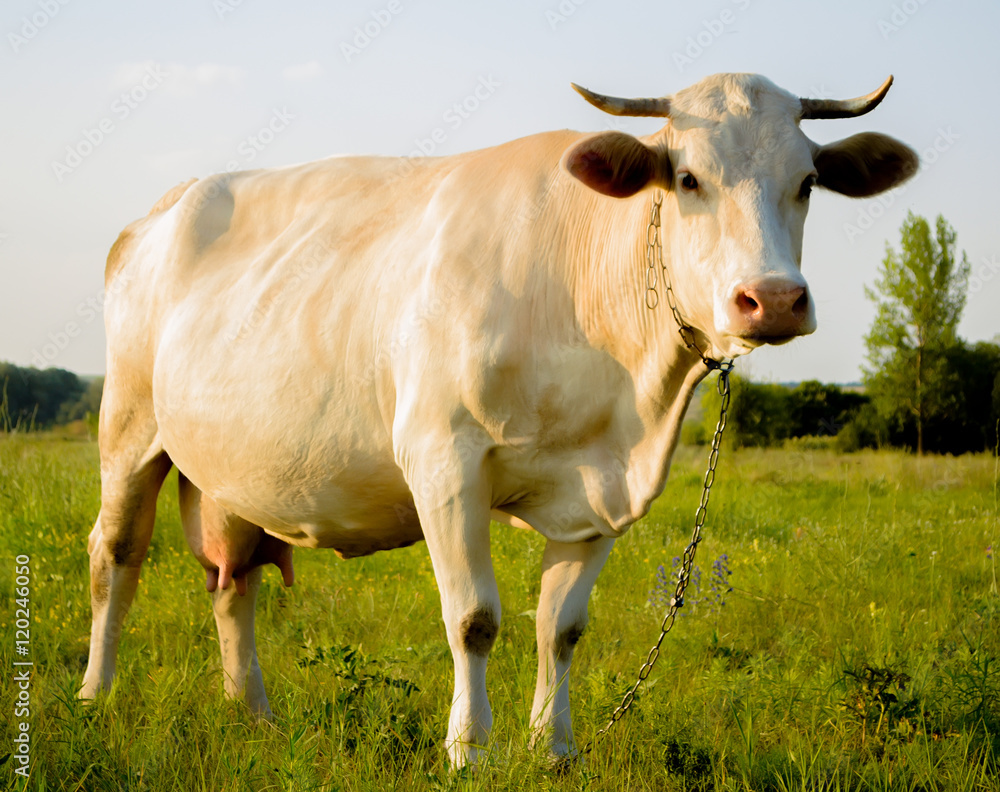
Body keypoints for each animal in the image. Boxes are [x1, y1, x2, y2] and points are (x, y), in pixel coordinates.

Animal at [79, 73, 917, 768]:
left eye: (807, 182)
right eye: (687, 178)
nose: (771, 299)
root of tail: (162, 209)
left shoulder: (601, 489)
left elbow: (561, 628)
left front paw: (553, 749)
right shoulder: (442, 459)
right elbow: (474, 618)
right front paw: (469, 750)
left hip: (232, 469)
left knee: (233, 579)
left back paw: (252, 713)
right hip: (129, 427)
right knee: (115, 555)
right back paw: (96, 694)